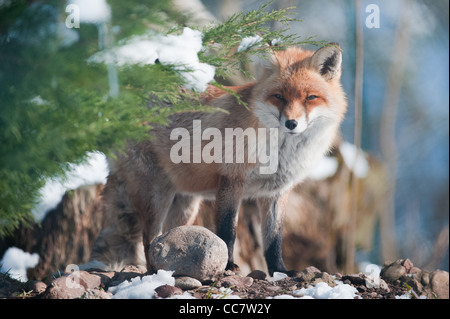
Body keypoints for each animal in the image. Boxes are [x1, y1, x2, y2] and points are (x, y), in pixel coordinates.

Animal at [89, 43, 348, 276]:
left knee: (169, 237)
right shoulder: (231, 180)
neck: (280, 151)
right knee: (148, 239)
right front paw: (228, 267)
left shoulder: (276, 192)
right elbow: (227, 231)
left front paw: (280, 271)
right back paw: (155, 271)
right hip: (156, 194)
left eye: (311, 97)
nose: (291, 123)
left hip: (185, 204)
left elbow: (274, 240)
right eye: (279, 97)